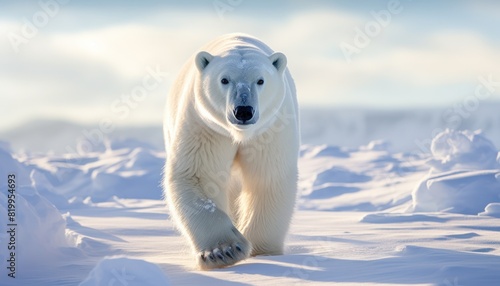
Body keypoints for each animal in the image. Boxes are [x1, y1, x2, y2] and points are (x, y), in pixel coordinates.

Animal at [164, 33, 298, 270]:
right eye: (224, 80)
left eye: (260, 80)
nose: (243, 111)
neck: (240, 134)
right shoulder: (206, 126)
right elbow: (198, 175)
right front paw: (223, 251)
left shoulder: (269, 130)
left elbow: (268, 178)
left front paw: (263, 252)